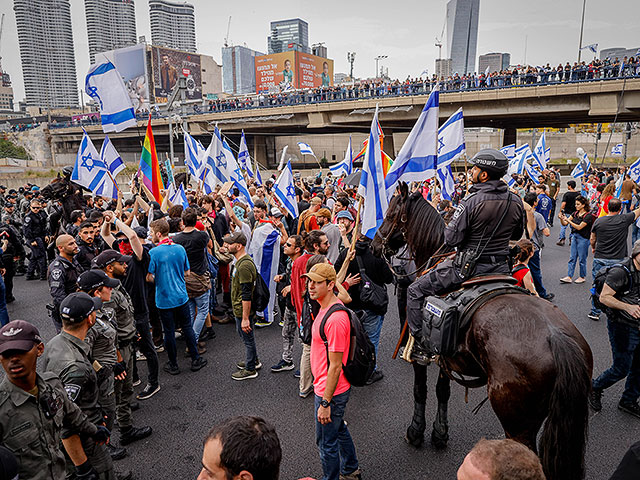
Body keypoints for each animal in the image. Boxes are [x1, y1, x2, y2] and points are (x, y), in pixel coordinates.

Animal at [370, 184, 596, 480]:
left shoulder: (424, 352)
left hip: (517, 421)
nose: (373, 245)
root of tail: (556, 339)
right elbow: (442, 391)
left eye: (390, 213)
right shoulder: (446, 357)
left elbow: (421, 390)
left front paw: (416, 432)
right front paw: (440, 433)